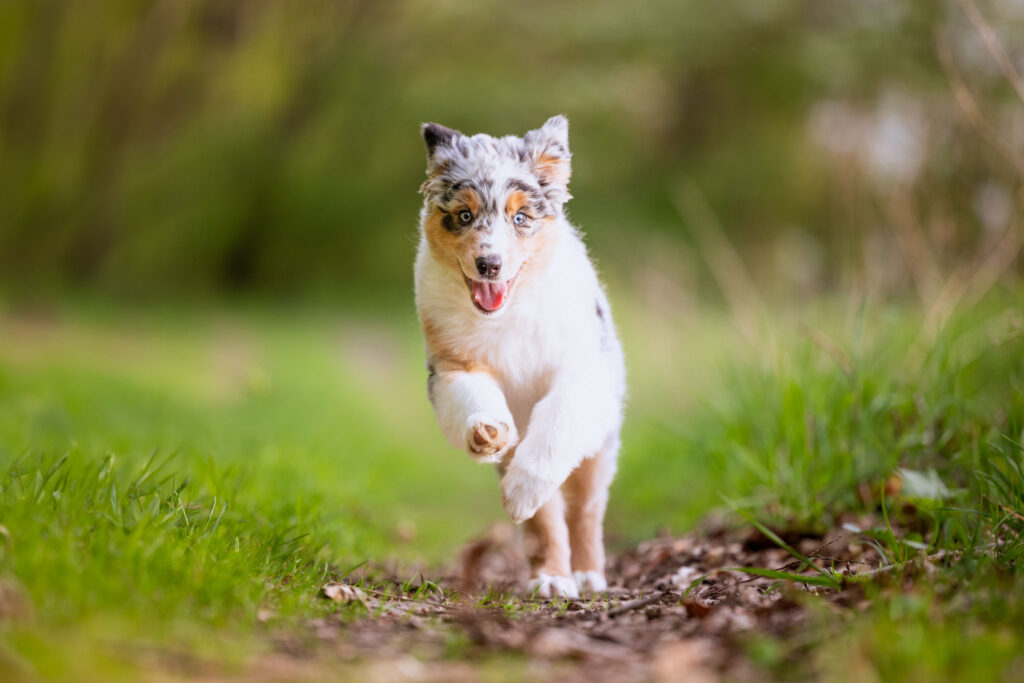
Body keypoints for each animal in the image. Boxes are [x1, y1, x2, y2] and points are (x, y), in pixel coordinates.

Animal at [413, 114, 622, 593]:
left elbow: (558, 423)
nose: (489, 264)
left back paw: (585, 573)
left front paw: (524, 488)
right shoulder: (453, 367)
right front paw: (486, 431)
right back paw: (550, 578)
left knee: (585, 509)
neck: (509, 313)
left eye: (521, 216)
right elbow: (474, 400)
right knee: (547, 520)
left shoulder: (583, 372)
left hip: (602, 445)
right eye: (465, 215)